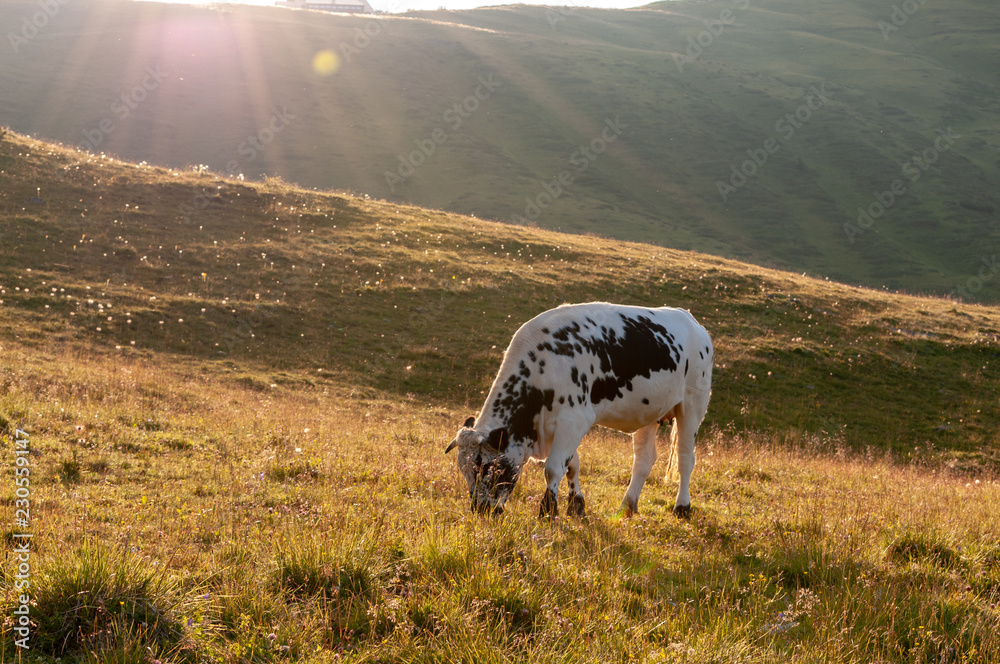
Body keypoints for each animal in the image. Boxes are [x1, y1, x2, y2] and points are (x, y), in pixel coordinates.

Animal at [446, 300, 712, 520]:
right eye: (465, 471)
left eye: (488, 468)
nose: (481, 510)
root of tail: (692, 321)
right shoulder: (565, 426)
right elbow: (572, 464)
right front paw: (576, 505)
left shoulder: (574, 419)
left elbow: (553, 468)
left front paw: (548, 511)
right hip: (649, 414)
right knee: (643, 460)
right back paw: (627, 506)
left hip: (692, 405)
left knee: (685, 458)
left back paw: (682, 507)